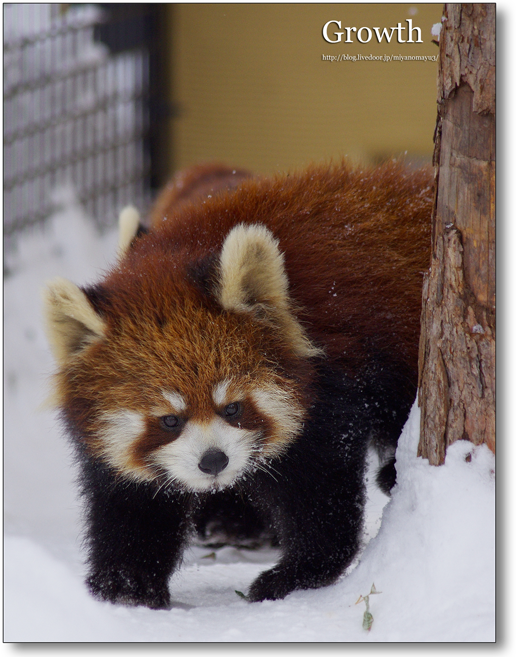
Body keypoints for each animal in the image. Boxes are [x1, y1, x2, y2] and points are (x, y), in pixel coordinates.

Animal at [43, 160, 430, 608]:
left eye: (232, 407)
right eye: (169, 420)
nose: (214, 461)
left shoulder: (330, 386)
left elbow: (318, 490)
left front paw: (297, 573)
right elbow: (132, 504)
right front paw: (124, 585)